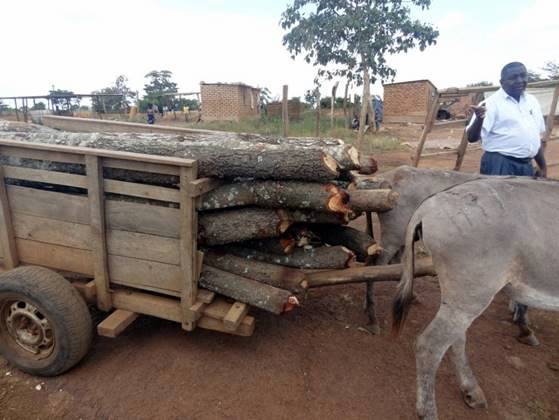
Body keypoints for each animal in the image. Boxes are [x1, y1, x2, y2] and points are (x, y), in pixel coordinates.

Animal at [365, 166, 538, 346]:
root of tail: (389, 177)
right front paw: (524, 328)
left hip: (404, 238)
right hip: (393, 237)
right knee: (373, 269)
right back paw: (372, 318)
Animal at [392, 177, 559, 420]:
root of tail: (429, 204)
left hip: (461, 296)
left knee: (455, 338)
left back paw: (470, 390)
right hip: (472, 294)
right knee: (429, 346)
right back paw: (429, 412)